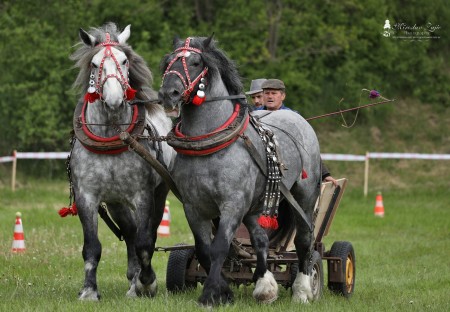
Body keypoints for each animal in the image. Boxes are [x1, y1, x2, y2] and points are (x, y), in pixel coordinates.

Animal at [68, 23, 174, 302]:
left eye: (125, 61)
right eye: (94, 64)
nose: (115, 99)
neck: (112, 136)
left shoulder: (143, 195)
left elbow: (145, 243)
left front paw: (147, 283)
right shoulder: (86, 196)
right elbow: (92, 246)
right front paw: (89, 291)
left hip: (159, 193)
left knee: (145, 234)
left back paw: (138, 282)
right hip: (116, 202)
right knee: (129, 232)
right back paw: (131, 277)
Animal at [160, 36, 322, 304]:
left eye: (195, 62)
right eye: (168, 60)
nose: (168, 93)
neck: (209, 145)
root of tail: (302, 122)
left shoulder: (232, 203)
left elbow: (219, 248)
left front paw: (210, 295)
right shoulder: (193, 207)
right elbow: (204, 250)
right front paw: (224, 291)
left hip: (304, 197)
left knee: (304, 240)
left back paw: (303, 290)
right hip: (255, 205)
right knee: (260, 239)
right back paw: (265, 287)